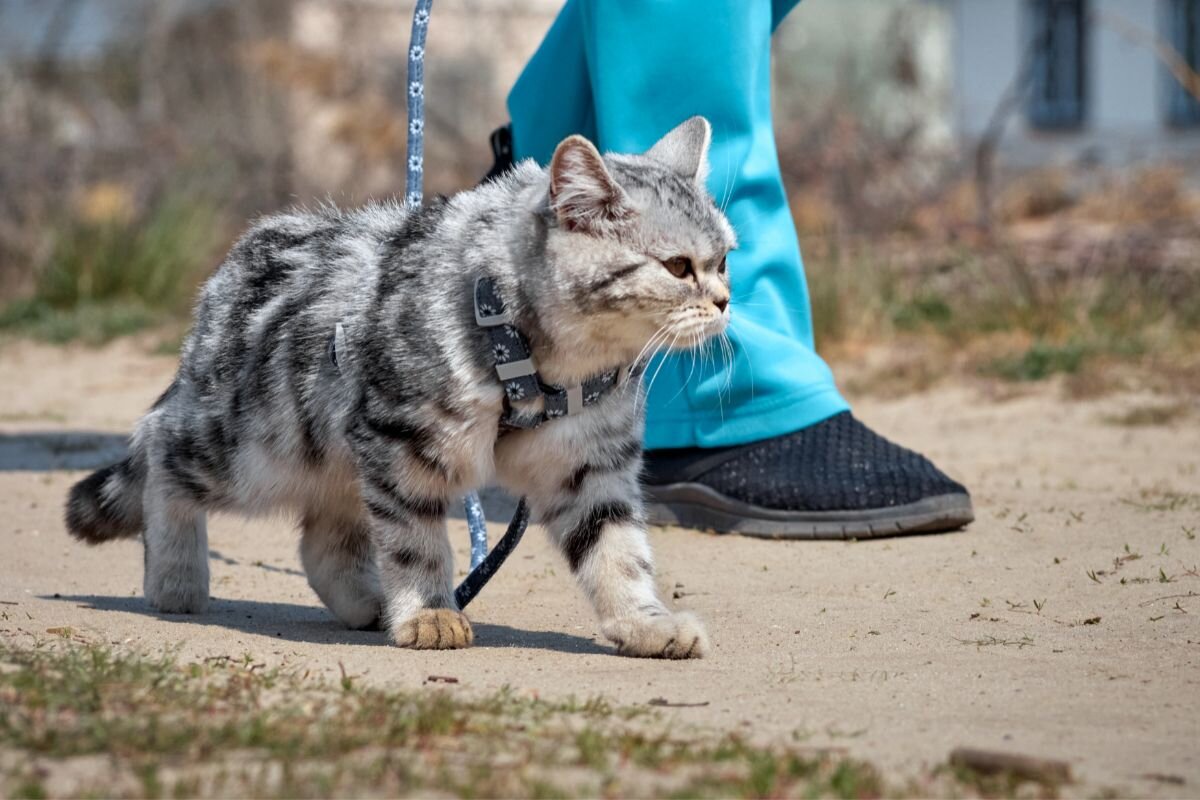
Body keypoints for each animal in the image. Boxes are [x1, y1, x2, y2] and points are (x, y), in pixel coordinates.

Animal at [72, 115, 739, 662]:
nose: (725, 301)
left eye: (725, 260)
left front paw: (645, 623)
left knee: (325, 541)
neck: (547, 361)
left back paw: (368, 603)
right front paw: (428, 612)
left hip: (332, 453)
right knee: (163, 449)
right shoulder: (401, 442)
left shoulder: (590, 465)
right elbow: (417, 543)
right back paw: (176, 577)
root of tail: (228, 272)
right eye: (678, 267)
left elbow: (618, 551)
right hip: (253, 449)